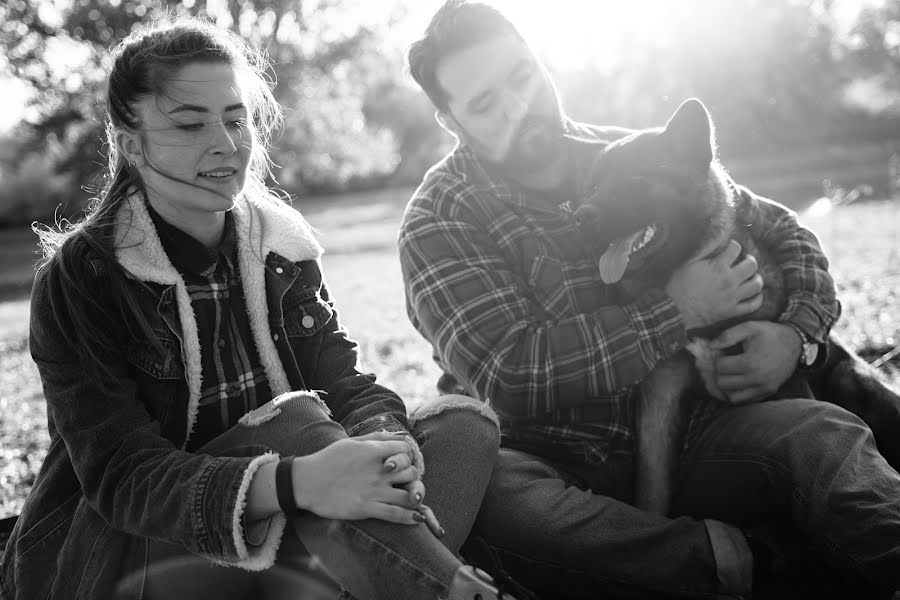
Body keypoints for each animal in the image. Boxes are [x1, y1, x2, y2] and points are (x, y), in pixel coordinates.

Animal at [572, 98, 900, 516]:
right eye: (593, 186)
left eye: (636, 178)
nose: (580, 217)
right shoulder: (661, 400)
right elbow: (652, 488)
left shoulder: (781, 383)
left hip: (851, 379)